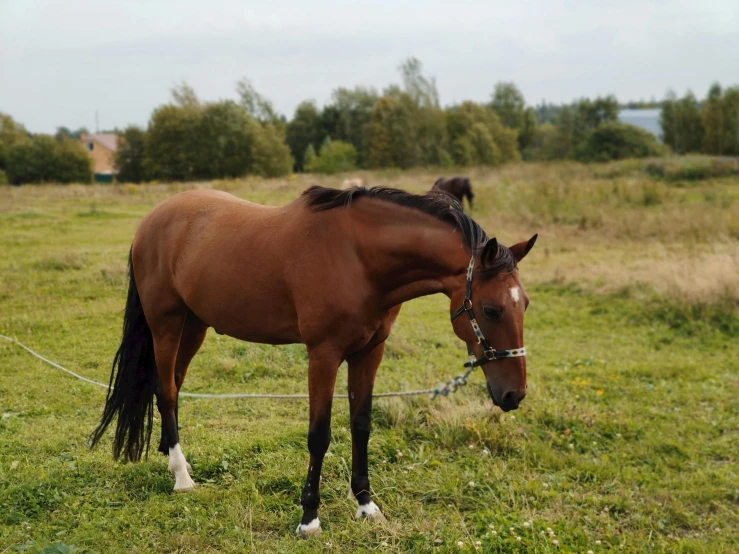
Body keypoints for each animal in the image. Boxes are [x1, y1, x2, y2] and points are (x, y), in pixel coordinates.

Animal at [89, 185, 536, 536]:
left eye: (525, 304)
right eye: (492, 309)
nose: (513, 394)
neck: (358, 259)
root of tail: (151, 221)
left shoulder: (369, 352)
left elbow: (361, 424)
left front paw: (366, 504)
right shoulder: (323, 354)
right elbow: (319, 434)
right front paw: (309, 517)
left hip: (193, 325)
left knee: (174, 386)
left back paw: (169, 454)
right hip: (165, 324)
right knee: (166, 389)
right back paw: (182, 476)